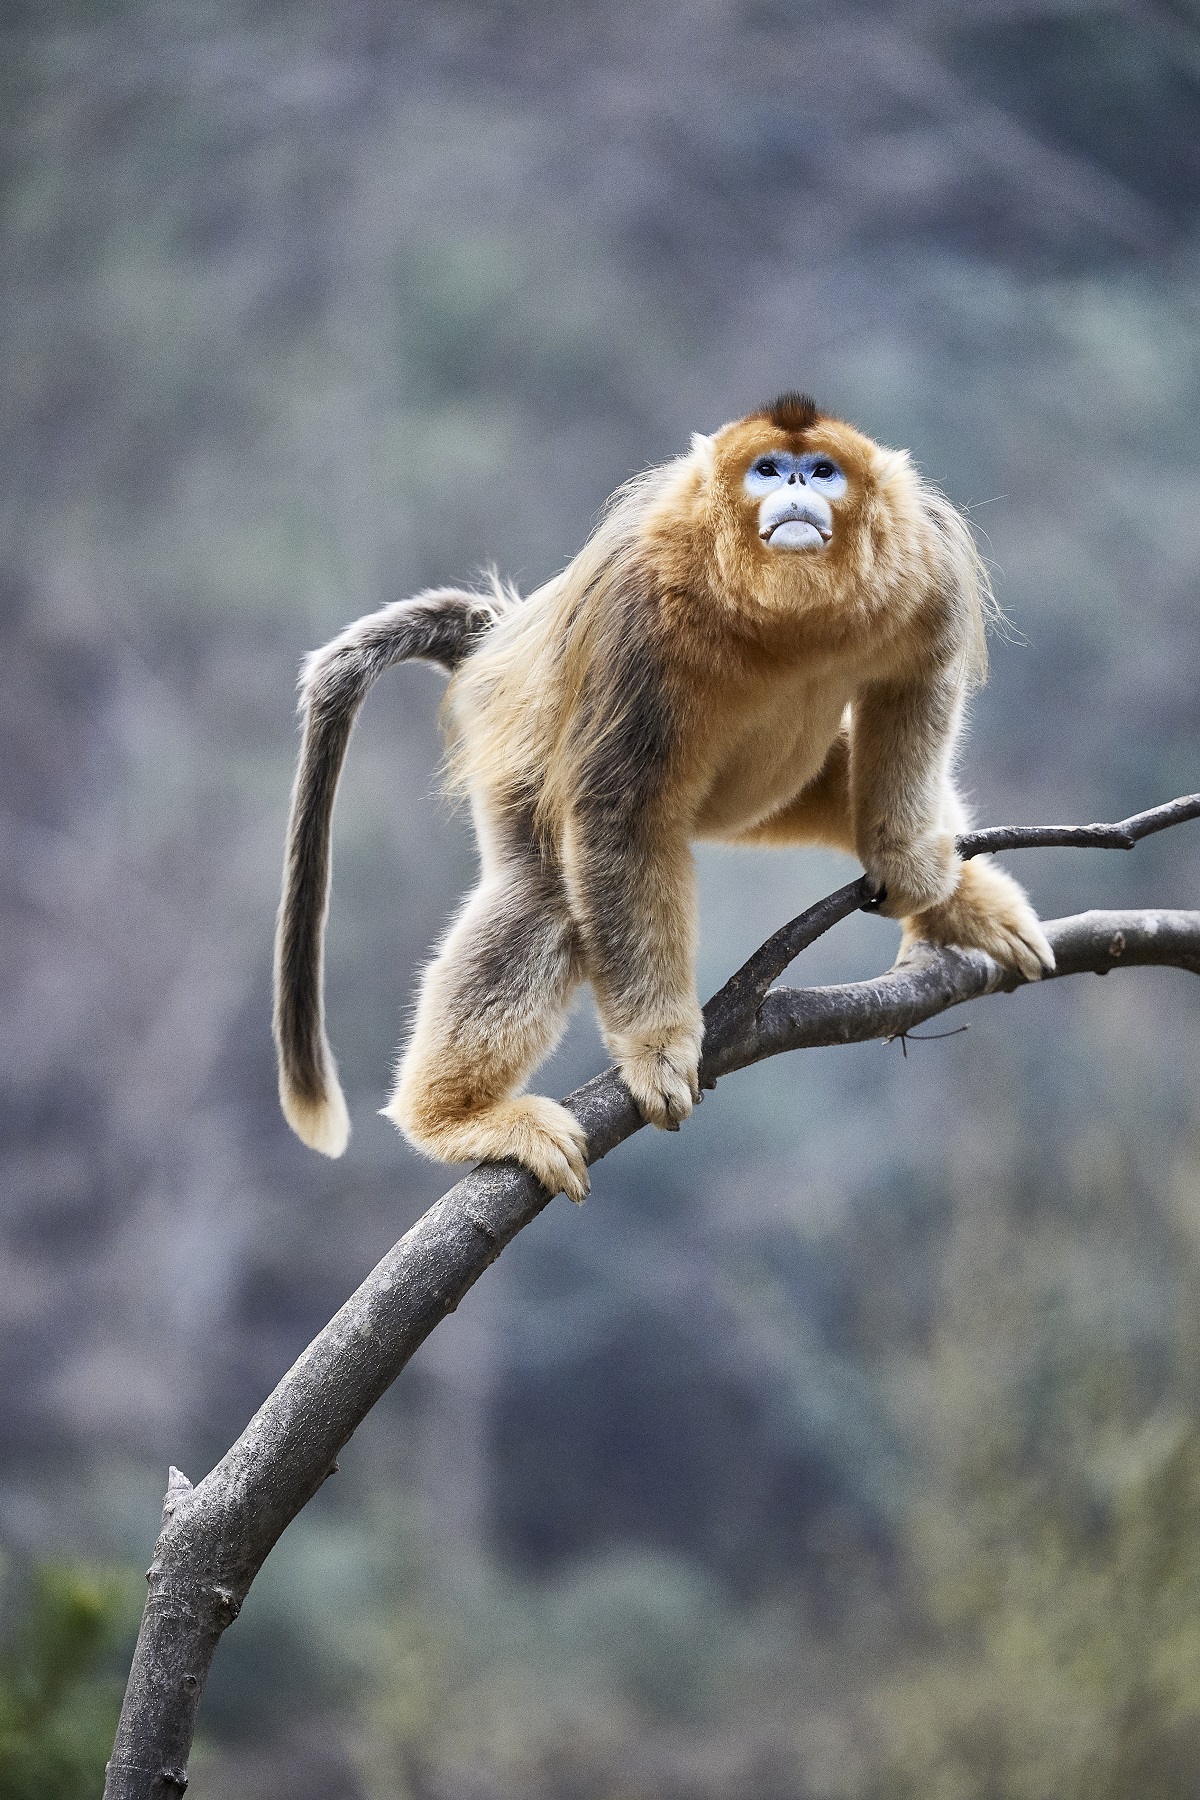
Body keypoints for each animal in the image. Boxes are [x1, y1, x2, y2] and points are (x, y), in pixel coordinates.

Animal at [271, 401, 1050, 1202]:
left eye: (822, 470)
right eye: (768, 469)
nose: (797, 484)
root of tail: (504, 642)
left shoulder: (924, 565)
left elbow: (918, 681)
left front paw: (906, 861)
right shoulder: (636, 616)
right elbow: (619, 813)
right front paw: (656, 1049)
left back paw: (956, 899)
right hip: (519, 751)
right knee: (547, 893)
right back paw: (455, 1118)